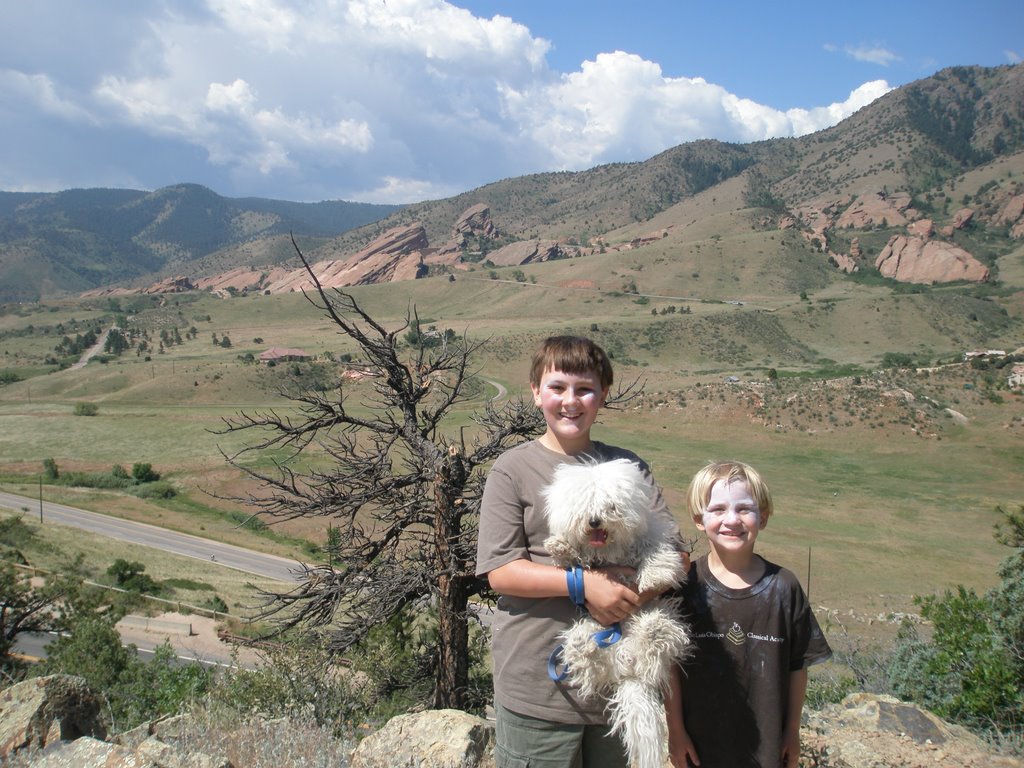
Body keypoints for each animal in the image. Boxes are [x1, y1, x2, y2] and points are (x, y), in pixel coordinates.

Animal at [544, 460, 688, 765]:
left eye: (610, 506)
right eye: (586, 507)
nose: (594, 521)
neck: (612, 550)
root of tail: (628, 670)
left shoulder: (651, 540)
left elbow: (657, 554)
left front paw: (654, 576)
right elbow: (573, 557)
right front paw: (560, 546)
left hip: (661, 616)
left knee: (657, 649)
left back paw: (654, 634)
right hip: (592, 631)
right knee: (588, 663)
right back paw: (582, 646)